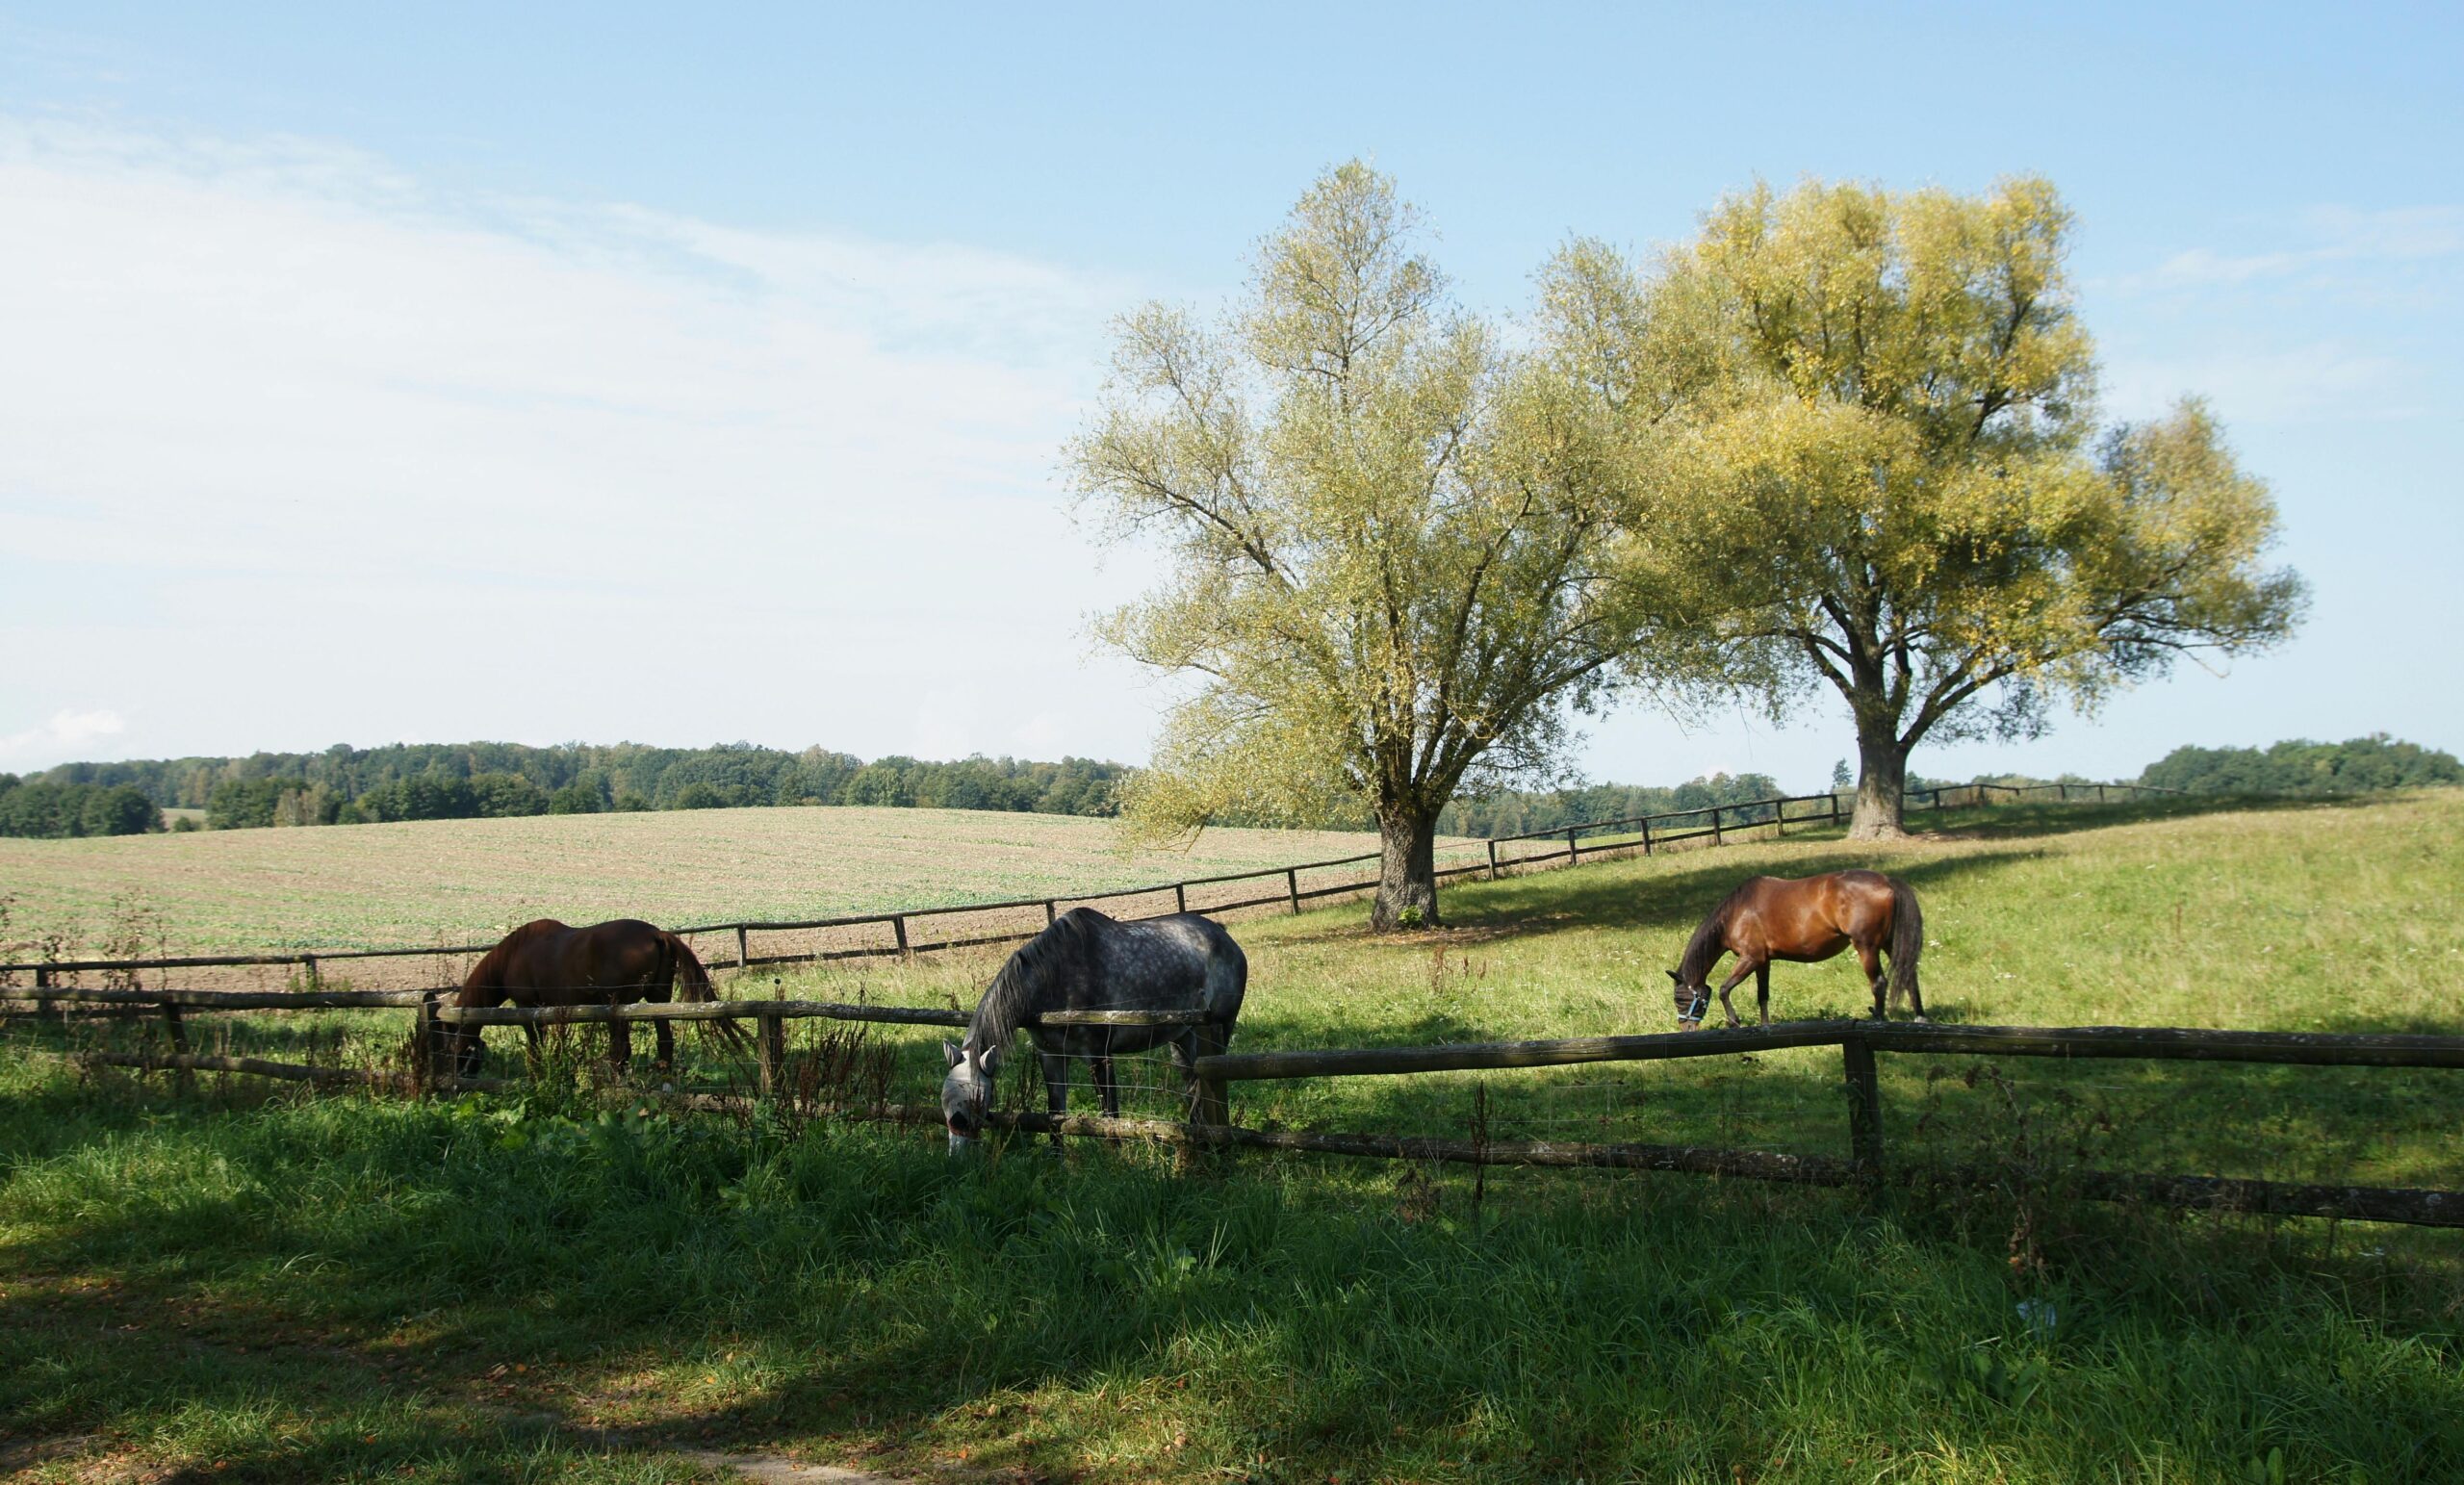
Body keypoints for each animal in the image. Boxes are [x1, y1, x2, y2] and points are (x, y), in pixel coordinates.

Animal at [433, 915, 744, 1078]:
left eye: (452, 1050)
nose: (456, 1076)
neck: (512, 955)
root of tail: (657, 934)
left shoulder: (528, 1007)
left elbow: (536, 1047)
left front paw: (538, 1073)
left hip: (619, 1005)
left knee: (621, 1049)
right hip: (657, 999)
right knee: (663, 1042)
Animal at [940, 906, 1251, 1152]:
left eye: (978, 1100)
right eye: (944, 1099)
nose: (958, 1154)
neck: (1055, 978)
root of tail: (1223, 936)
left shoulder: (1098, 1056)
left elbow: (1110, 1116)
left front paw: (1117, 1161)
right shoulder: (1051, 1056)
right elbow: (1055, 1115)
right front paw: (1057, 1163)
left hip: (1220, 1030)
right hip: (1183, 1038)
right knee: (1193, 1088)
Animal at [1665, 871, 1932, 1034]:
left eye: (1681, 999)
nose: (1685, 1030)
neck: (1736, 912)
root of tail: (1887, 880)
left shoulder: (1750, 958)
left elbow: (1723, 990)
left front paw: (1734, 1022)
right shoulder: (1763, 961)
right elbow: (1763, 995)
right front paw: (1765, 1026)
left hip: (1866, 946)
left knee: (1879, 983)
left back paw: (1877, 1020)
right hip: (1889, 943)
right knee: (1909, 975)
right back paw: (1920, 1017)